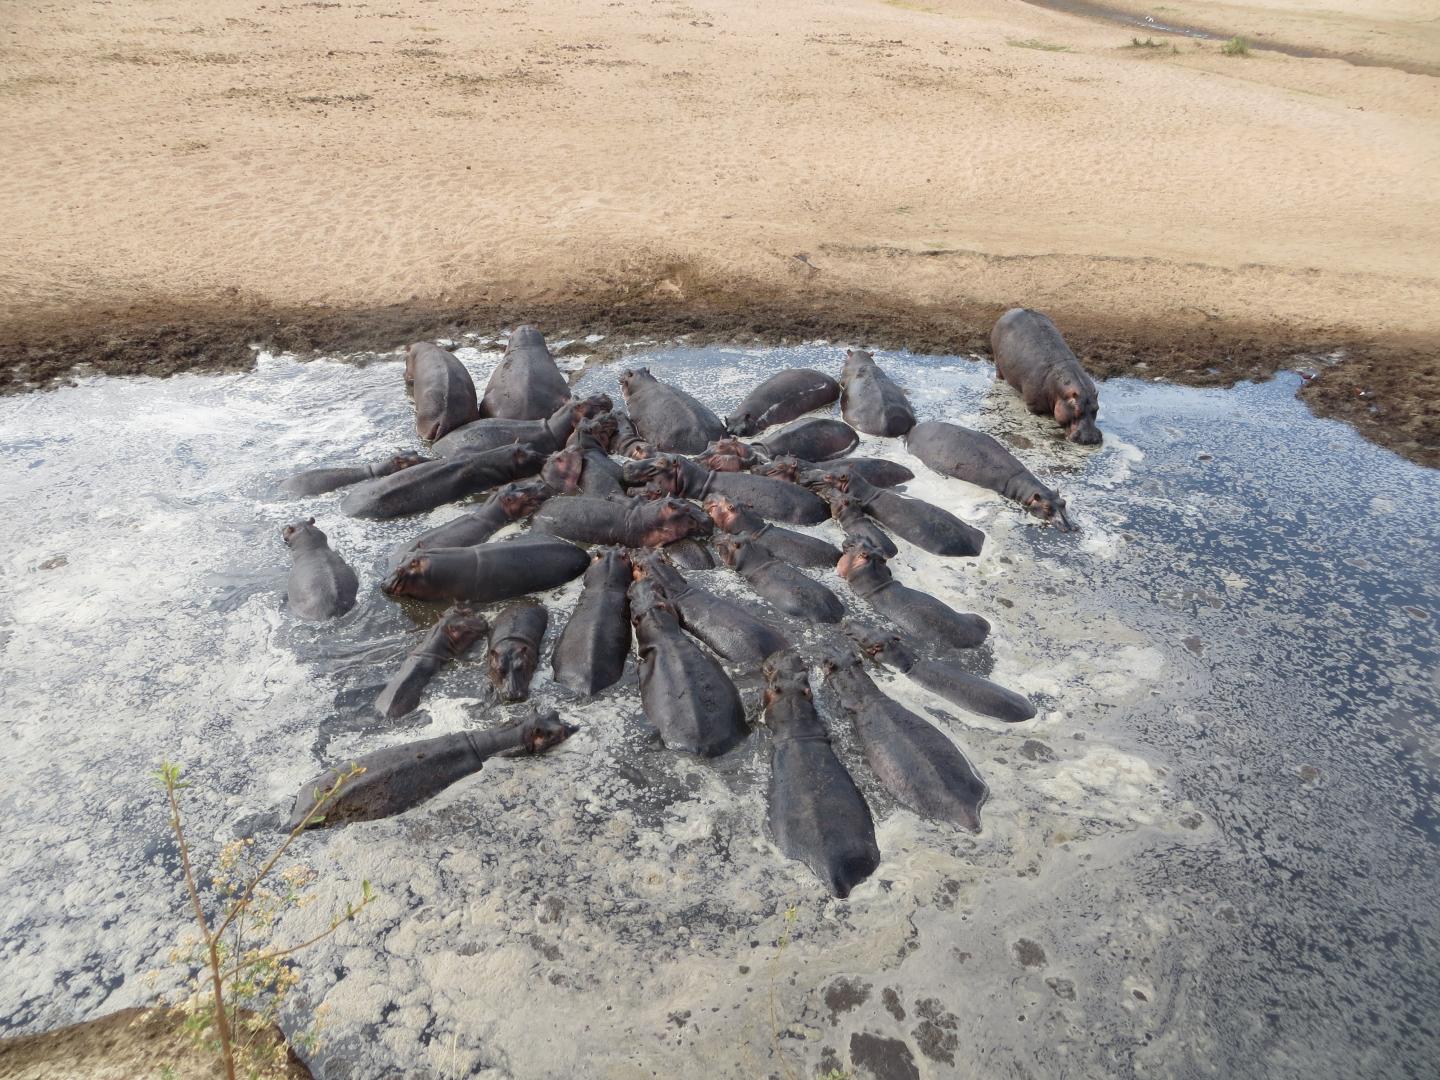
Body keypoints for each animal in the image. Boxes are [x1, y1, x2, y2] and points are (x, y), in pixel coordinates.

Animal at [991, 308, 1101, 445]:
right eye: (1077, 411)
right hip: (997, 360)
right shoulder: (1033, 407)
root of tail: (1009, 312)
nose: (1090, 438)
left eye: (1096, 409)